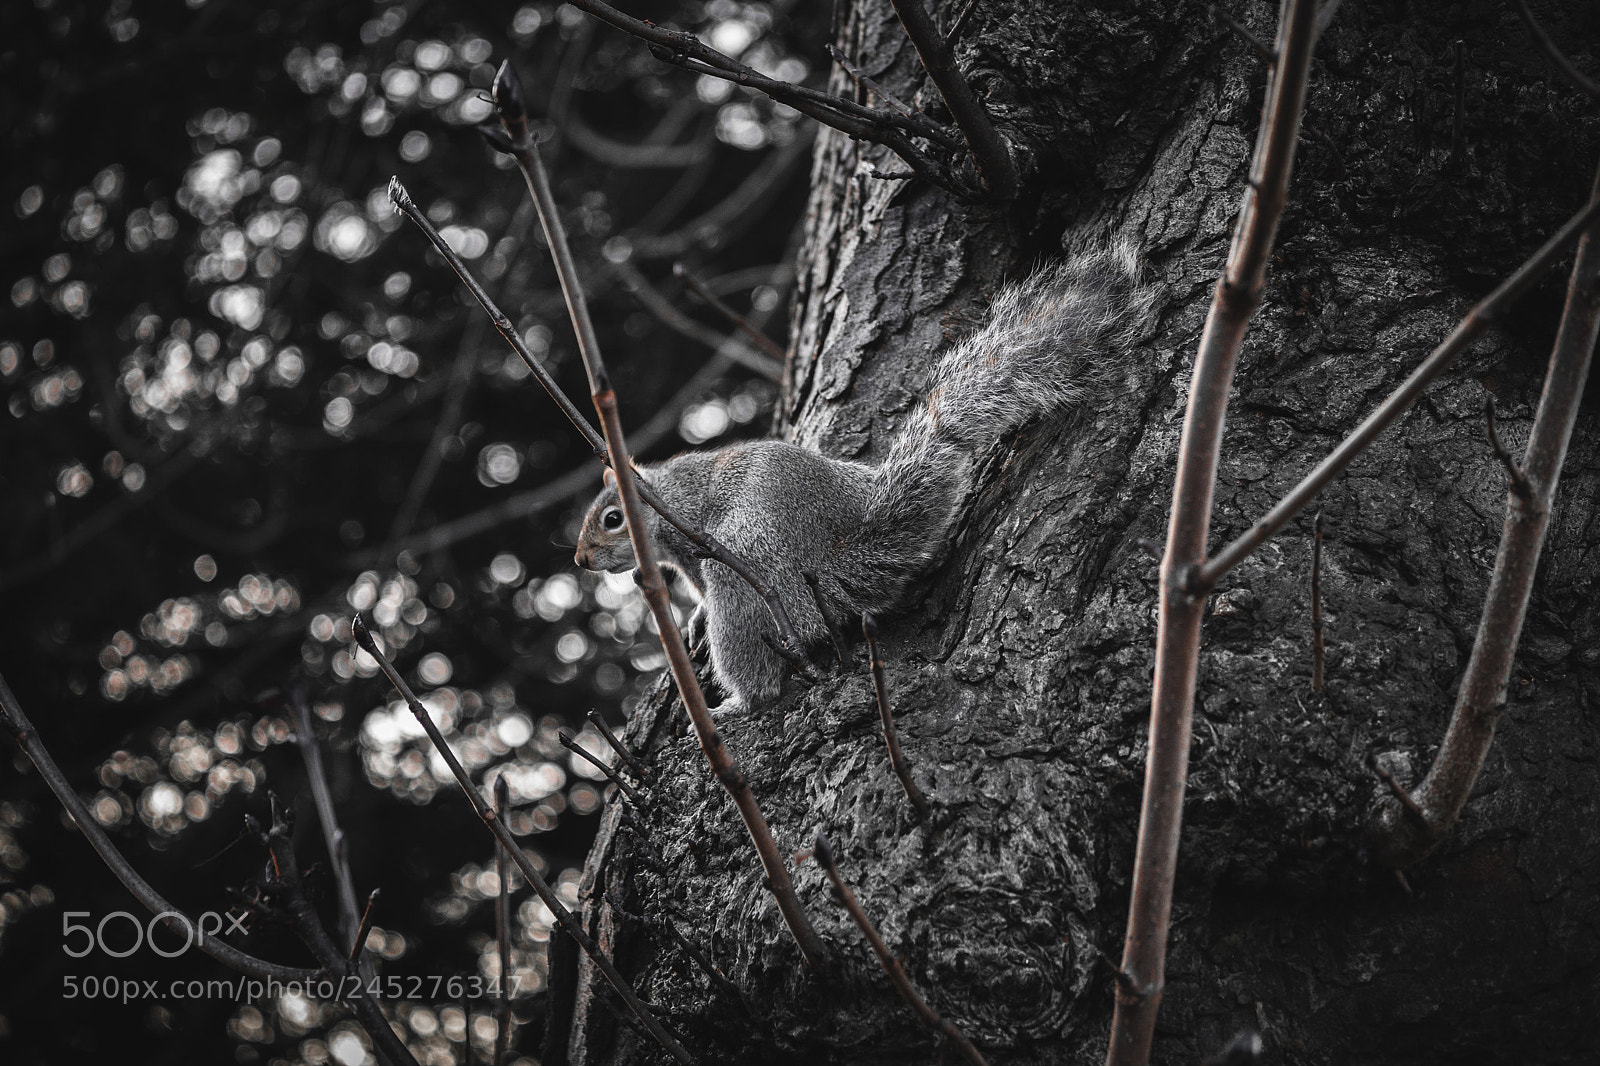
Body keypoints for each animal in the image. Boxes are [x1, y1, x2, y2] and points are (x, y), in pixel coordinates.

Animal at [574, 243, 1154, 716]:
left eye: (612, 519)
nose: (580, 560)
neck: (666, 501)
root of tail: (840, 556)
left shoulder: (694, 528)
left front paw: (698, 620)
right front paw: (694, 617)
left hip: (750, 572)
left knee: (755, 658)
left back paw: (739, 702)